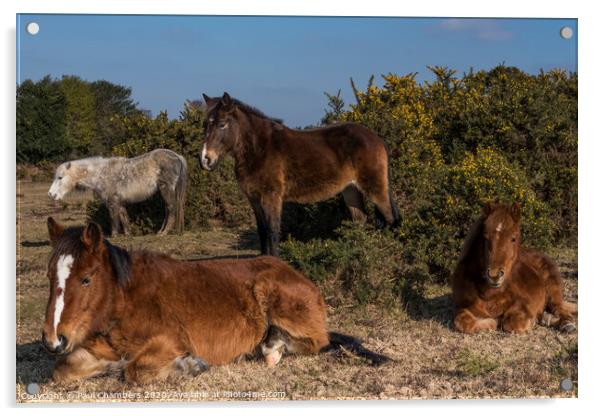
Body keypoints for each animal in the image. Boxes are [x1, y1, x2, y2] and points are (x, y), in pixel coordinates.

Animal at [42, 218, 390, 384]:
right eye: (49, 275)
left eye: (86, 279)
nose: (53, 340)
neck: (125, 300)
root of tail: (298, 275)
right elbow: (62, 370)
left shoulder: (171, 341)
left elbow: (135, 371)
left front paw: (188, 367)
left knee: (318, 341)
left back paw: (271, 347)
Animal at [48, 149, 186, 236]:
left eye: (60, 177)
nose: (51, 194)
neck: (101, 173)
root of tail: (177, 156)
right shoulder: (120, 202)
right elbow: (123, 217)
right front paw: (128, 234)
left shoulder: (112, 201)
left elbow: (113, 217)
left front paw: (114, 235)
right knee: (168, 210)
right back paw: (161, 231)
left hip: (166, 189)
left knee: (171, 209)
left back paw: (164, 232)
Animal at [198, 93, 398, 256]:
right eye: (205, 125)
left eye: (222, 124)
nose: (205, 160)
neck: (259, 149)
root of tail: (377, 138)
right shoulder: (254, 199)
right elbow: (262, 232)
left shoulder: (271, 197)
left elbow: (272, 232)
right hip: (351, 189)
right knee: (360, 221)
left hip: (375, 189)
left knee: (391, 219)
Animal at [450, 202, 576, 334]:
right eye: (485, 237)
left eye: (513, 238)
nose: (494, 275)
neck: (490, 293)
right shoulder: (461, 308)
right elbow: (461, 322)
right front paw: (491, 322)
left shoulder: (524, 304)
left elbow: (511, 322)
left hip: (553, 290)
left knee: (559, 309)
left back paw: (566, 324)